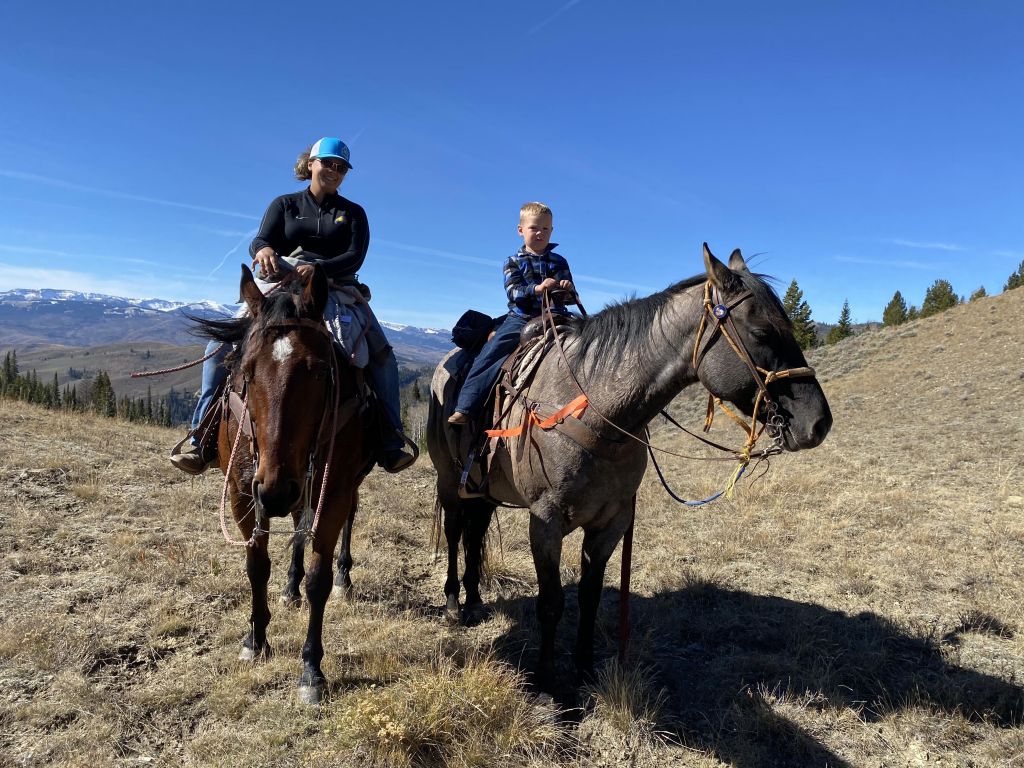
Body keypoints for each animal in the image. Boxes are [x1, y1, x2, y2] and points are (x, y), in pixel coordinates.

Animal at [193, 264, 374, 704]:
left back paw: (344, 578)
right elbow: (256, 566)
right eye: (245, 369)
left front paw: (311, 670)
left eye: (321, 370)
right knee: (295, 526)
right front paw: (255, 639)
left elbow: (318, 581)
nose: (276, 490)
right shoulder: (244, 493)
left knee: (345, 520)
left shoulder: (333, 492)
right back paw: (289, 587)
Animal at [428, 244, 835, 692]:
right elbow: (551, 602)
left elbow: (589, 598)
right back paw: (453, 603)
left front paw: (585, 671)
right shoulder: (545, 522)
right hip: (449, 481)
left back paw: (475, 600)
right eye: (762, 333)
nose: (818, 423)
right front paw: (545, 681)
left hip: (484, 490)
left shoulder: (613, 521)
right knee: (454, 532)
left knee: (475, 533)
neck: (596, 408)